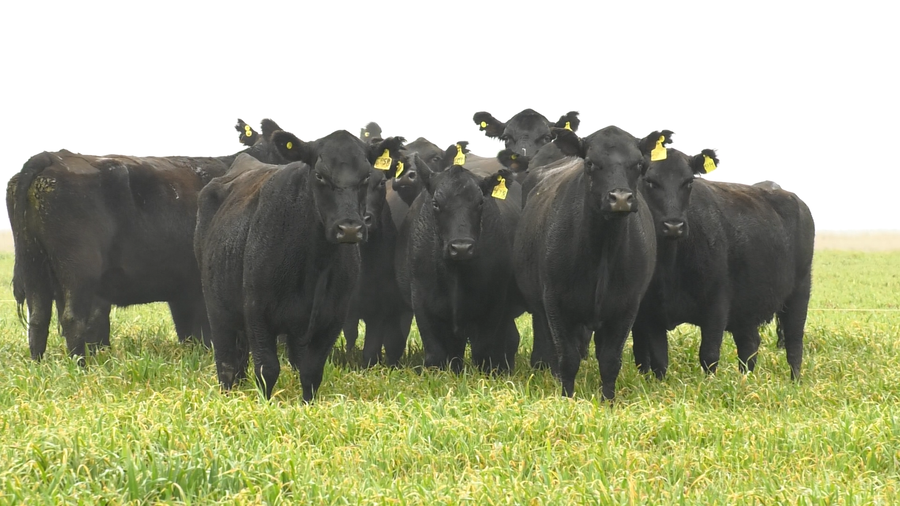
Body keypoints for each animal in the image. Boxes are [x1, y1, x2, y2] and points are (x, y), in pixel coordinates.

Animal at [7, 119, 287, 363]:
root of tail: (52, 157)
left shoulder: (183, 290)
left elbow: (191, 334)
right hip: (79, 272)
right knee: (72, 319)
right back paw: (80, 367)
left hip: (34, 267)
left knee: (38, 319)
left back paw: (39, 365)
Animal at [195, 130, 406, 402]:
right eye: (320, 175)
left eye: (367, 175)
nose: (350, 228)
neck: (312, 266)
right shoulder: (256, 311)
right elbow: (267, 369)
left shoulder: (332, 319)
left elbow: (311, 370)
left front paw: (307, 403)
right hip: (217, 308)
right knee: (227, 361)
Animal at [395, 163, 523, 373]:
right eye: (436, 203)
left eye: (480, 202)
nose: (461, 247)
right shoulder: (421, 300)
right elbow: (436, 354)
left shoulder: (494, 303)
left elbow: (483, 351)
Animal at [514, 126, 662, 399]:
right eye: (591, 163)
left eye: (639, 164)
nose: (620, 198)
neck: (603, 251)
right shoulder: (555, 302)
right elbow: (567, 357)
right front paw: (567, 397)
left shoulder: (627, 306)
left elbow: (610, 360)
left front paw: (608, 400)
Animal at [631, 142, 814, 380]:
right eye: (650, 181)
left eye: (688, 181)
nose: (673, 226)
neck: (670, 265)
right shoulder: (652, 313)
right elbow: (659, 361)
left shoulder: (717, 306)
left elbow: (708, 355)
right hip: (747, 306)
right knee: (749, 345)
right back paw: (745, 380)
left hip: (799, 293)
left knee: (794, 342)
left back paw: (795, 381)